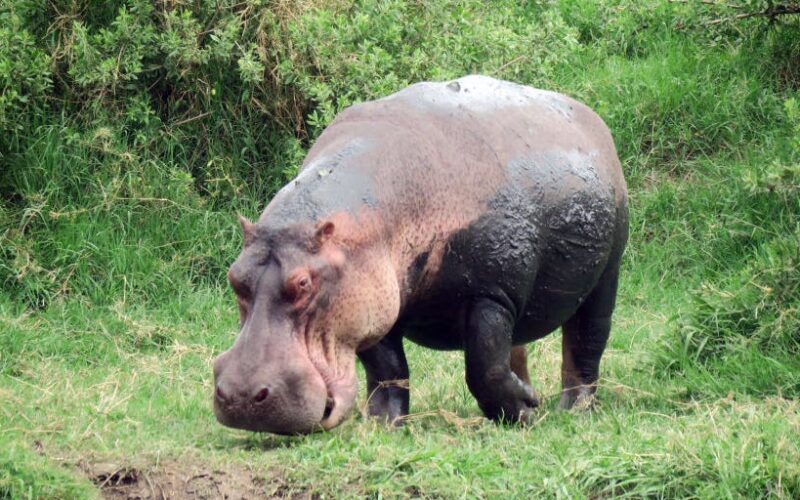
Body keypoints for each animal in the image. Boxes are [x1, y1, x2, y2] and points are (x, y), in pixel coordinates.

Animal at [216, 74, 628, 434]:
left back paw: (573, 409)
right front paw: (381, 426)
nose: (239, 396)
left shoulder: (491, 294)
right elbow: (388, 372)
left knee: (586, 343)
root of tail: (591, 119)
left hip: (606, 275)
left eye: (303, 282)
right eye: (234, 277)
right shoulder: (375, 305)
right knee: (519, 347)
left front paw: (523, 413)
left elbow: (483, 367)